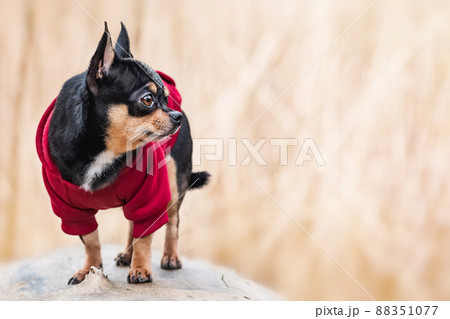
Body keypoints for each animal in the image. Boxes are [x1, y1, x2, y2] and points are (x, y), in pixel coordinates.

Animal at [36, 22, 210, 284]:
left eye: (166, 98)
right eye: (147, 100)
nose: (177, 115)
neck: (107, 149)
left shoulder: (150, 196)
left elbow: (145, 236)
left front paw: (141, 269)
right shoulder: (71, 210)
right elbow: (91, 240)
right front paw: (88, 271)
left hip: (174, 179)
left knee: (172, 221)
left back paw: (170, 257)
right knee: (132, 223)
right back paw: (127, 255)